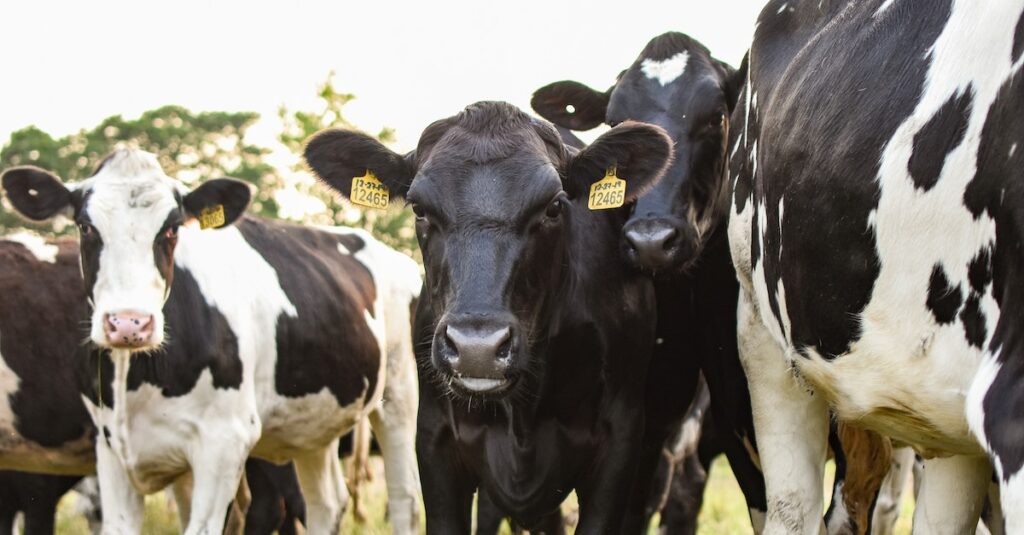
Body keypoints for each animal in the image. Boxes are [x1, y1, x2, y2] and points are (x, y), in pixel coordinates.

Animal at [1, 148, 423, 532]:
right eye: (86, 226)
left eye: (171, 228)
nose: (129, 323)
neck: (138, 378)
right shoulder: (111, 449)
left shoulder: (225, 442)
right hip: (311, 425)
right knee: (326, 504)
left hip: (400, 396)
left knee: (404, 499)